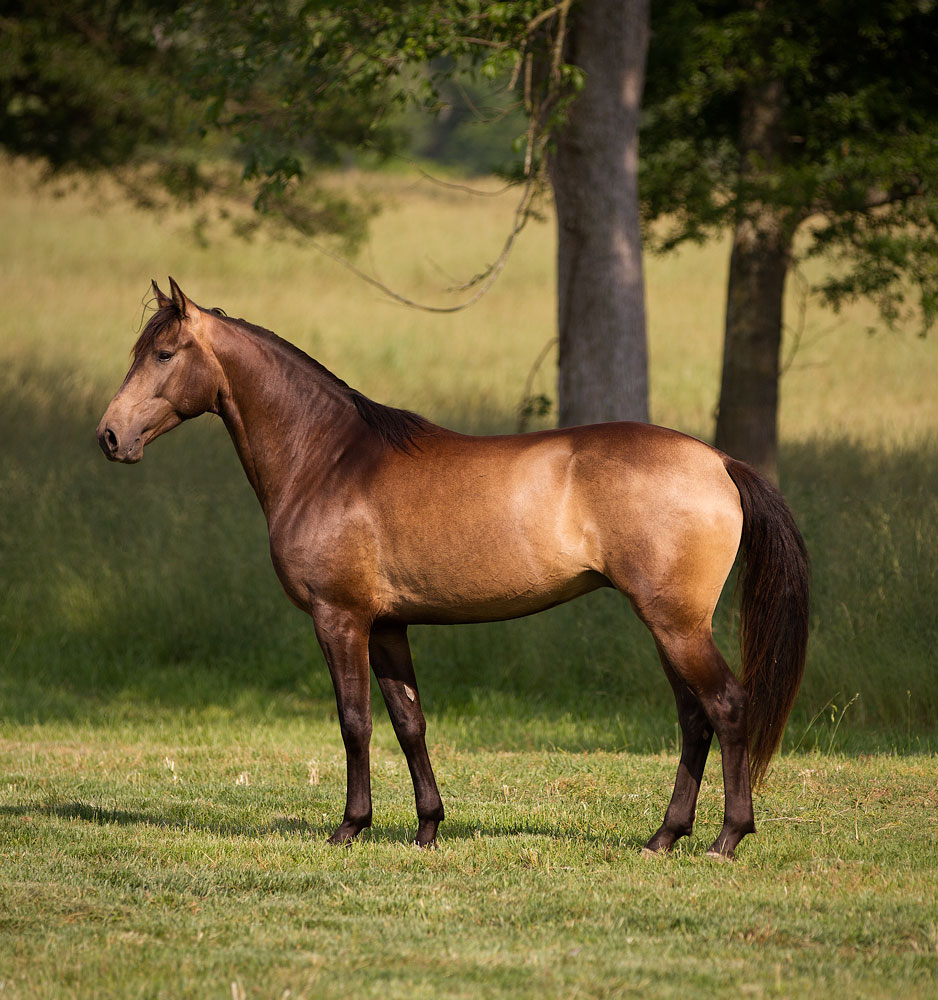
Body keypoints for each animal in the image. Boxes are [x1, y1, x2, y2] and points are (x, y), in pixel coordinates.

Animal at [98, 278, 808, 856]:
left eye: (164, 355)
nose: (109, 437)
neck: (328, 459)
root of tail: (718, 461)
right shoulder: (388, 626)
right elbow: (409, 722)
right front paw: (427, 829)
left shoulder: (340, 619)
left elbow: (354, 721)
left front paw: (350, 827)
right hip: (667, 626)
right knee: (694, 719)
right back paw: (664, 837)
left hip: (677, 625)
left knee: (726, 706)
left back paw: (726, 838)